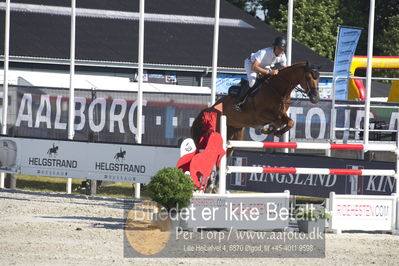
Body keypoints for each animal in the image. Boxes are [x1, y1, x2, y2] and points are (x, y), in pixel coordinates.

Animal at [191, 60, 322, 155]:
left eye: (319, 78)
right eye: (308, 77)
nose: (316, 98)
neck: (278, 90)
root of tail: (205, 112)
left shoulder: (281, 113)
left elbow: (290, 122)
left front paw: (274, 131)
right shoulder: (260, 115)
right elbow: (278, 121)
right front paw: (268, 129)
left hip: (235, 134)